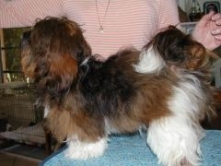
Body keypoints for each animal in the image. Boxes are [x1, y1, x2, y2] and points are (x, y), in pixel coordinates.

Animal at [20, 17, 214, 166]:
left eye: (34, 35)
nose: (23, 35)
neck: (75, 74)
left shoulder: (84, 120)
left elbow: (86, 137)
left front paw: (83, 152)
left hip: (168, 115)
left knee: (177, 140)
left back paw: (180, 159)